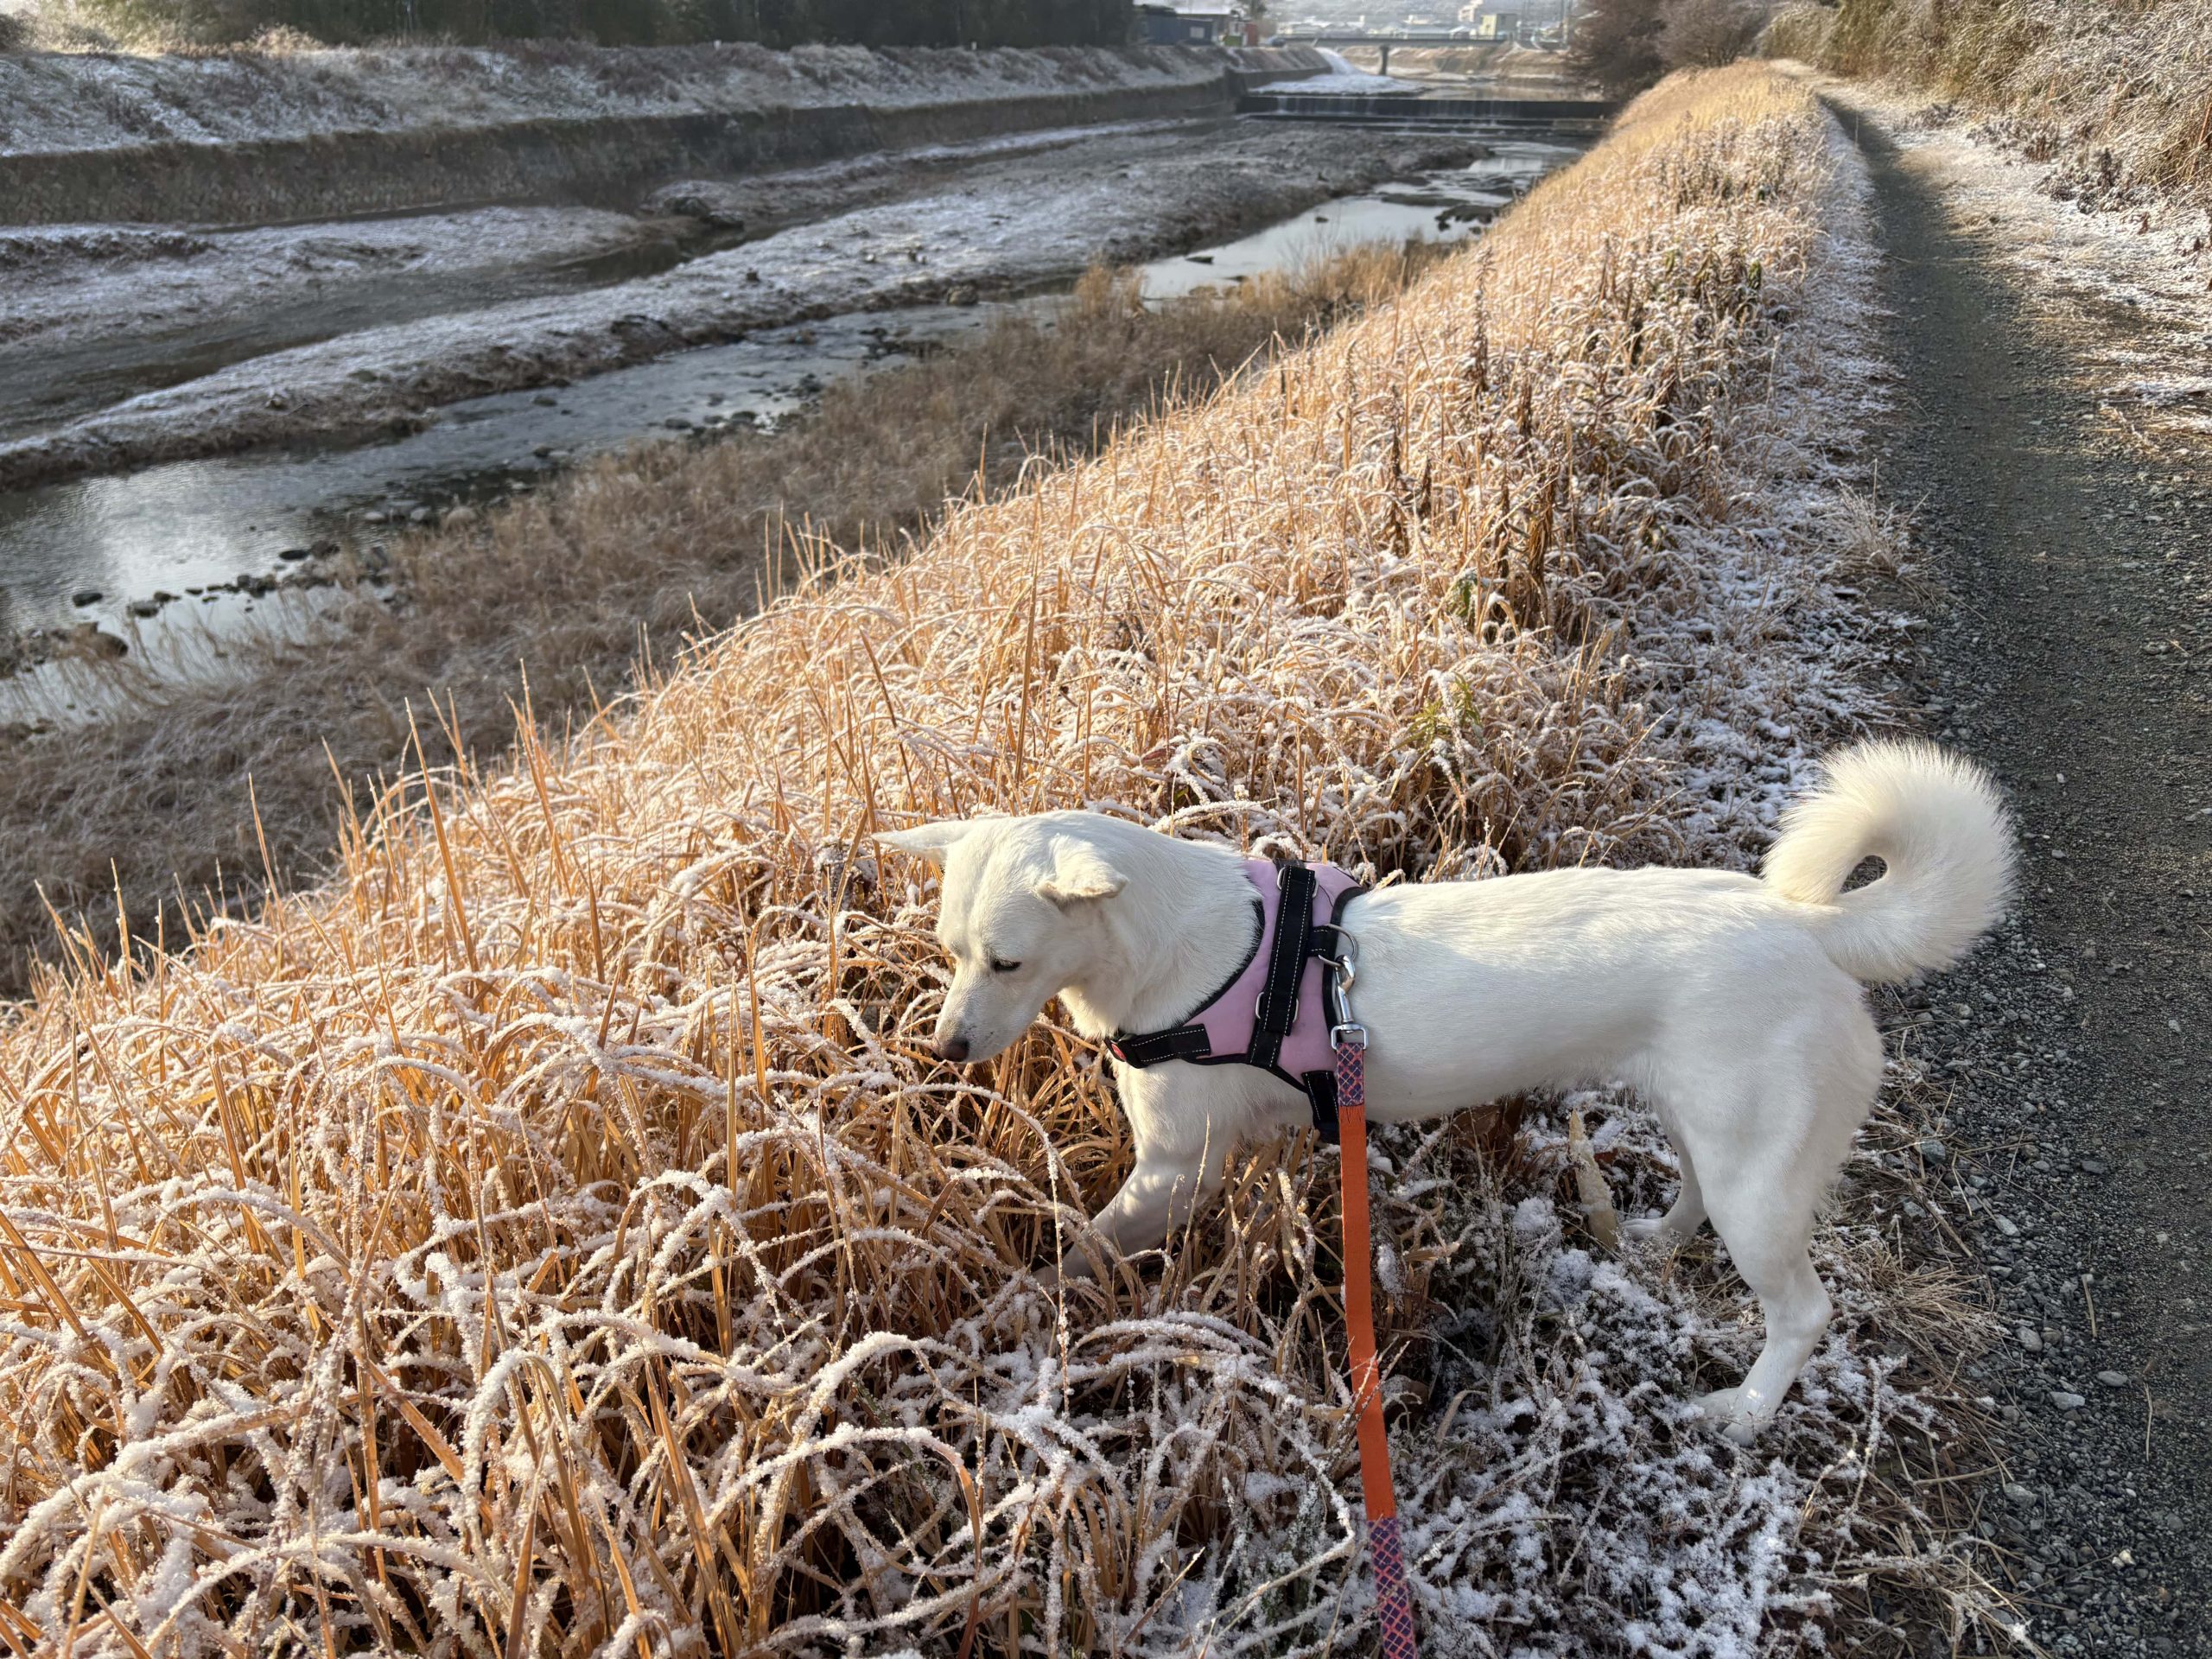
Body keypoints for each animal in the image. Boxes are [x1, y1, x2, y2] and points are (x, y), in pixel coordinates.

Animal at [879, 741, 2013, 1441]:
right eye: (949, 951)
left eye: (1008, 962)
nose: (944, 1048)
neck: (1186, 953)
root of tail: (1808, 927)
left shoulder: (1168, 1173)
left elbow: (1074, 1257)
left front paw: (999, 1329)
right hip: (1712, 1131)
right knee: (1693, 1192)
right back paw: (1649, 1243)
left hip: (1759, 1180)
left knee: (1804, 1312)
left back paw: (1744, 1410)